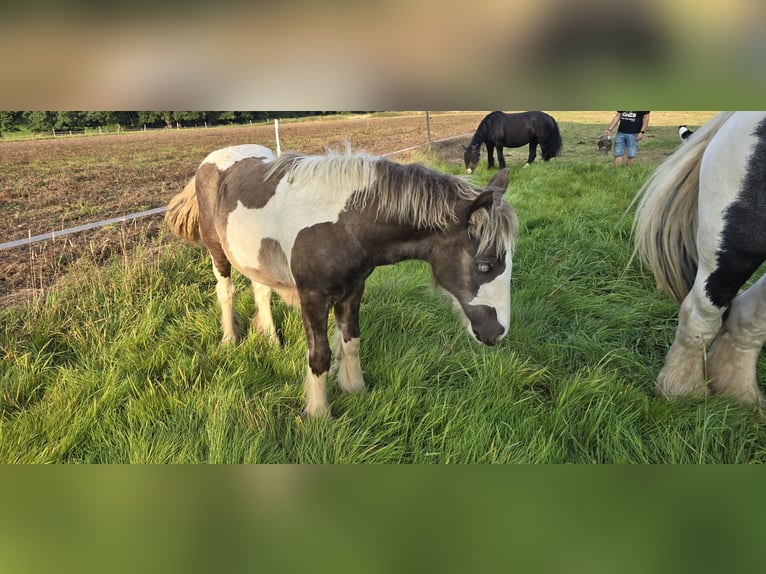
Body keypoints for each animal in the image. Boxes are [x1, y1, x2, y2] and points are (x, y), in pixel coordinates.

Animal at [165, 144, 520, 418]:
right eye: (486, 265)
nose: (497, 333)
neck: (347, 225)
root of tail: (211, 160)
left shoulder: (353, 290)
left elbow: (351, 342)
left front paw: (355, 390)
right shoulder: (312, 297)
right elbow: (320, 355)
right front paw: (319, 414)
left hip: (255, 256)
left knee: (261, 290)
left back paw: (270, 339)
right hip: (218, 252)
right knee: (225, 291)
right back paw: (229, 339)